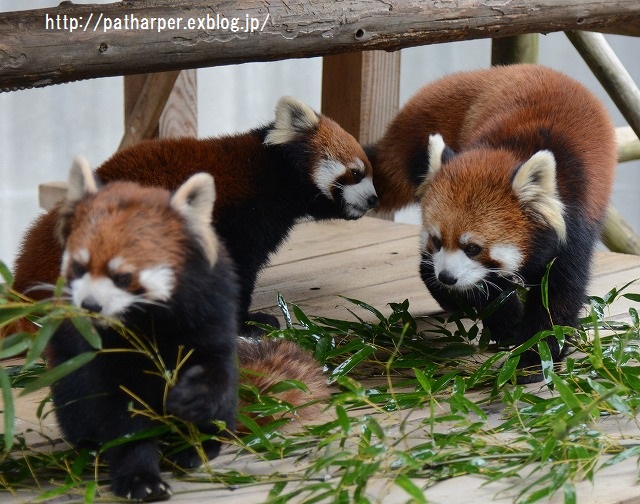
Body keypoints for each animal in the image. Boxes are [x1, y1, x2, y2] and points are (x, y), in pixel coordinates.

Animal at [10, 97, 378, 336]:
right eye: (355, 173)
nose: (374, 198)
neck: (271, 172)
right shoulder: (242, 218)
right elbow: (239, 269)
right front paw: (246, 322)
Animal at [48, 159, 328, 502]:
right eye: (78, 267)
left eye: (125, 275)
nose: (90, 305)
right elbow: (121, 414)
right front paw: (140, 477)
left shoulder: (213, 320)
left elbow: (214, 375)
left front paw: (192, 413)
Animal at [368, 66, 616, 382]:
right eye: (437, 241)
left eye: (473, 248)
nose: (447, 277)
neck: (512, 150)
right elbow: (486, 288)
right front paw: (509, 325)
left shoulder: (575, 226)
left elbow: (558, 296)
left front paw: (535, 357)